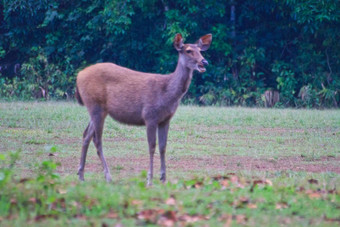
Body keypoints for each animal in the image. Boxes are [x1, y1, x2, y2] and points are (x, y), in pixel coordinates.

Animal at [75, 32, 211, 185]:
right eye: (188, 50)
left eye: (200, 50)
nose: (204, 62)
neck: (168, 94)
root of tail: (78, 76)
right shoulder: (149, 116)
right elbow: (152, 147)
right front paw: (149, 179)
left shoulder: (166, 119)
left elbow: (163, 147)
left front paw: (163, 178)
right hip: (96, 105)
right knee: (97, 140)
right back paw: (108, 176)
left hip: (97, 109)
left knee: (86, 135)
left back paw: (81, 175)